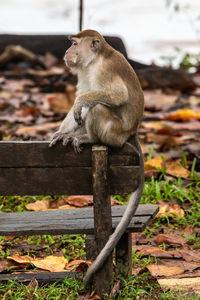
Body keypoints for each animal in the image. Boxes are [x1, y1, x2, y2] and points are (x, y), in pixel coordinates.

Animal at [49, 29, 145, 288]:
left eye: (74, 44)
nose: (66, 52)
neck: (93, 62)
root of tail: (131, 133)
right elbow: (81, 96)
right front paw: (61, 132)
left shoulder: (103, 70)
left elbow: (114, 95)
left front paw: (79, 106)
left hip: (115, 133)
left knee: (99, 108)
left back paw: (89, 139)